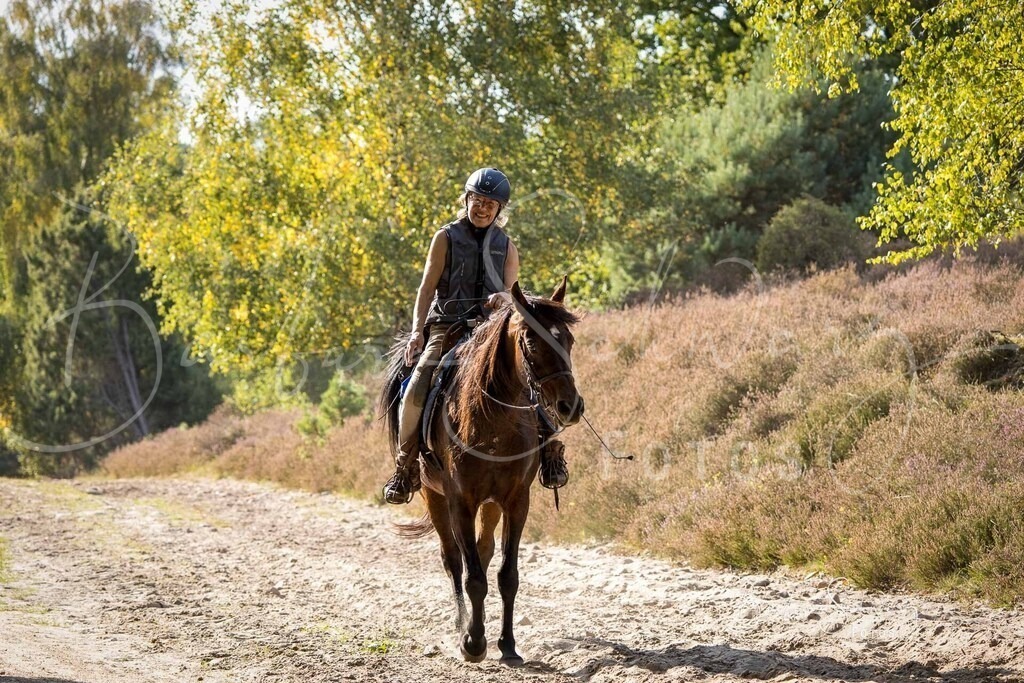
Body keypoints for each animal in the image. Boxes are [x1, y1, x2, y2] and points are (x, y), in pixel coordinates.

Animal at [379, 278, 584, 664]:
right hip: (433, 495)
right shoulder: (460, 500)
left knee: (484, 550)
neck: (494, 418)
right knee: (454, 561)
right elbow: (471, 575)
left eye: (568, 340)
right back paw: (463, 625)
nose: (571, 406)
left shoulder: (517, 500)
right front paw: (472, 642)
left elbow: (507, 575)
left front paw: (508, 644)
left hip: (491, 504)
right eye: (531, 342)